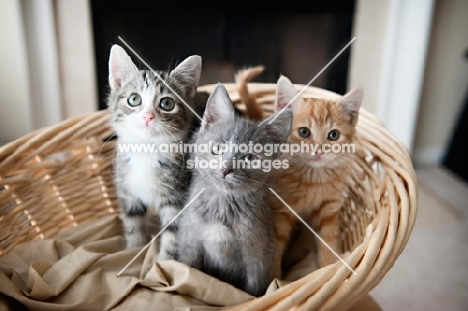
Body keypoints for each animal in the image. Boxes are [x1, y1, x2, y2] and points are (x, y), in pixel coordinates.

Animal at [108, 42, 207, 260]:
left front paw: (164, 261)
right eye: (134, 99)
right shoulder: (128, 192)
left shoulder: (178, 198)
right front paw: (132, 250)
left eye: (167, 103)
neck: (147, 150)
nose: (148, 116)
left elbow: (174, 232)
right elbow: (133, 224)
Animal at [176, 83, 292, 298]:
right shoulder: (189, 241)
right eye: (217, 148)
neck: (221, 204)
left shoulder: (258, 254)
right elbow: (189, 270)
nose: (225, 169)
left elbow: (255, 286)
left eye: (249, 158)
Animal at [268, 77, 364, 276]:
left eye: (333, 135)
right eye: (304, 132)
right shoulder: (279, 210)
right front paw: (273, 278)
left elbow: (328, 240)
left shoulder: (329, 210)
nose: (319, 150)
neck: (314, 180)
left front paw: (330, 267)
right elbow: (276, 244)